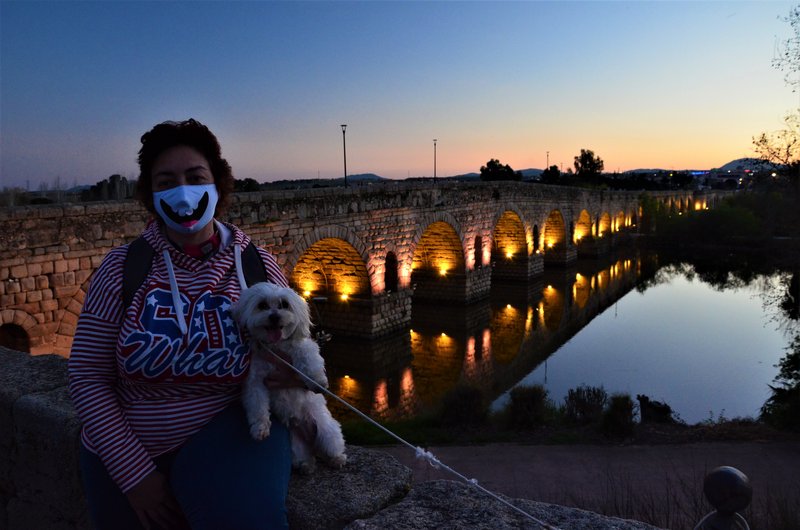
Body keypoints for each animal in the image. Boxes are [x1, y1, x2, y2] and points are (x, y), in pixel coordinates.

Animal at [230, 282, 346, 472]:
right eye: (262, 305)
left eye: (284, 304)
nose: (274, 317)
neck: (275, 346)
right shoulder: (255, 382)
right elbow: (257, 406)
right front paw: (260, 428)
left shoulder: (302, 346)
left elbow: (307, 356)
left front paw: (317, 380)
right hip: (295, 446)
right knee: (306, 457)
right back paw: (307, 465)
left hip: (327, 432)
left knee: (331, 448)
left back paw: (337, 459)